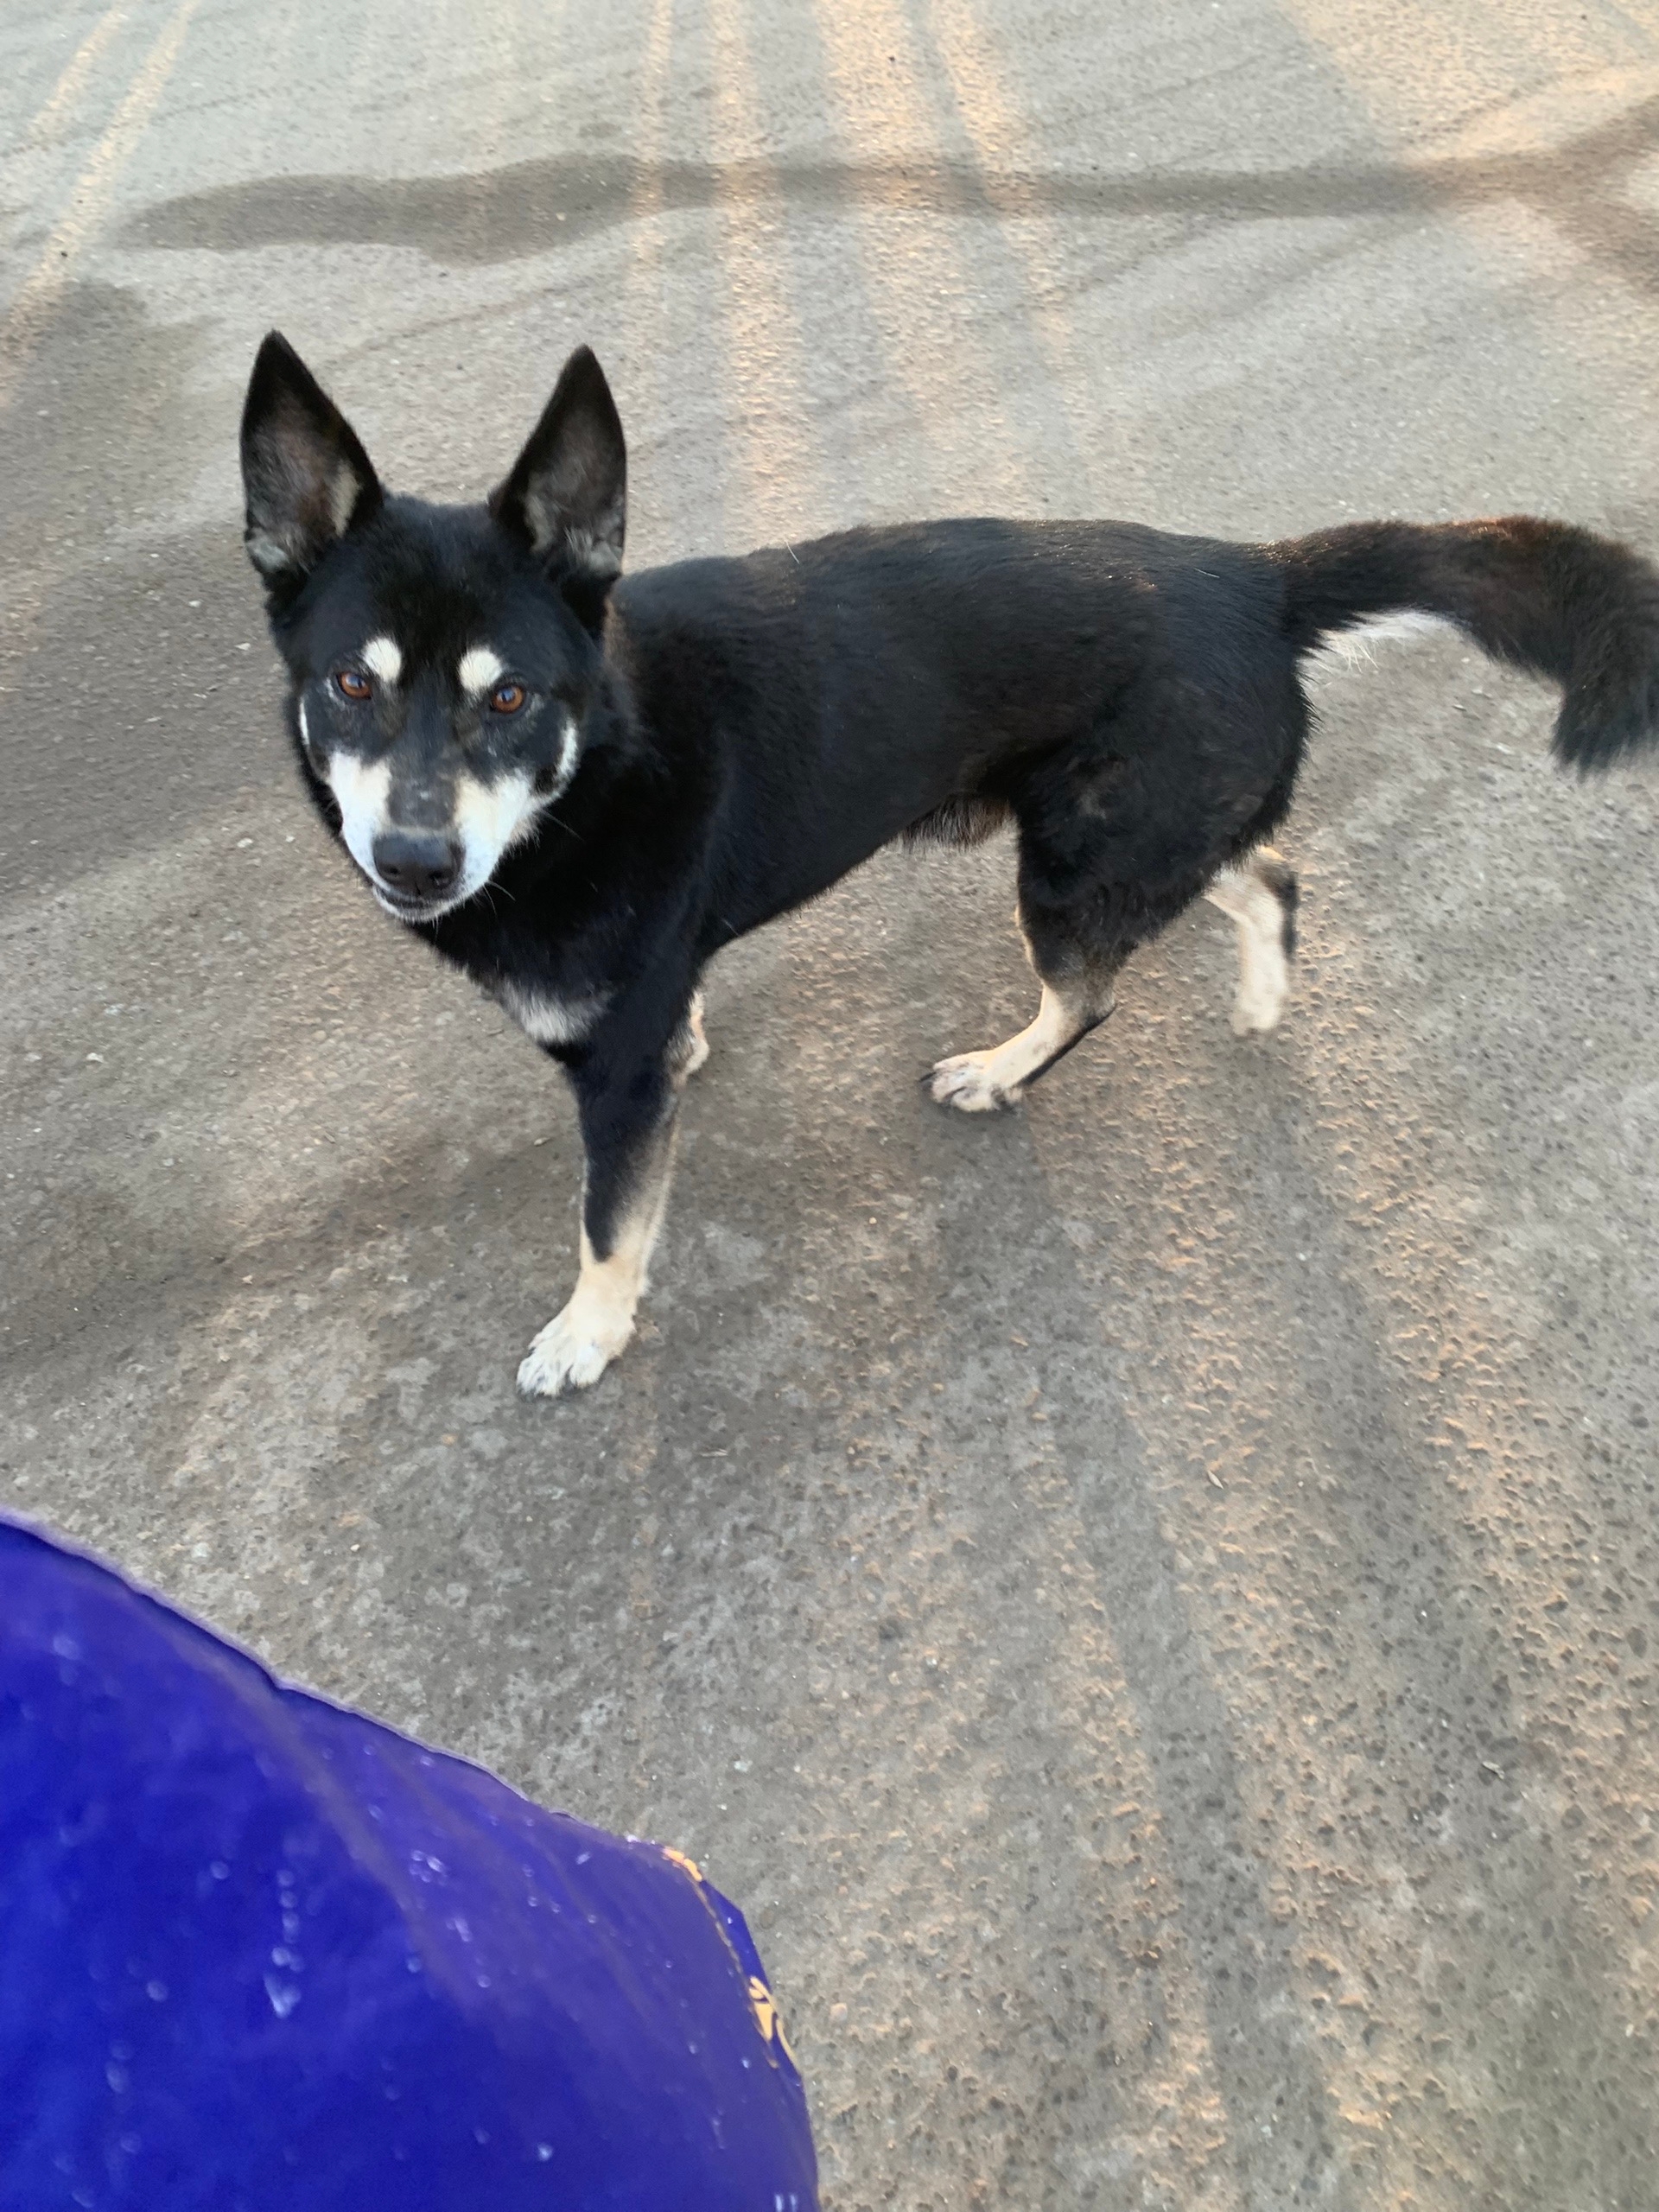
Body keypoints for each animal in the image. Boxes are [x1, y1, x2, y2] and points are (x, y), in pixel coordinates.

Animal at [240, 334, 1659, 1397]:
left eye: (511, 696)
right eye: (353, 683)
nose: (415, 861)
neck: (589, 773)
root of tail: (1255, 580)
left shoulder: (618, 1083)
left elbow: (608, 1224)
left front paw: (589, 1335)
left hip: (1073, 866)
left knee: (1091, 994)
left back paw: (1001, 1069)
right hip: (1130, 837)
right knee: (1270, 874)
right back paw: (1261, 995)